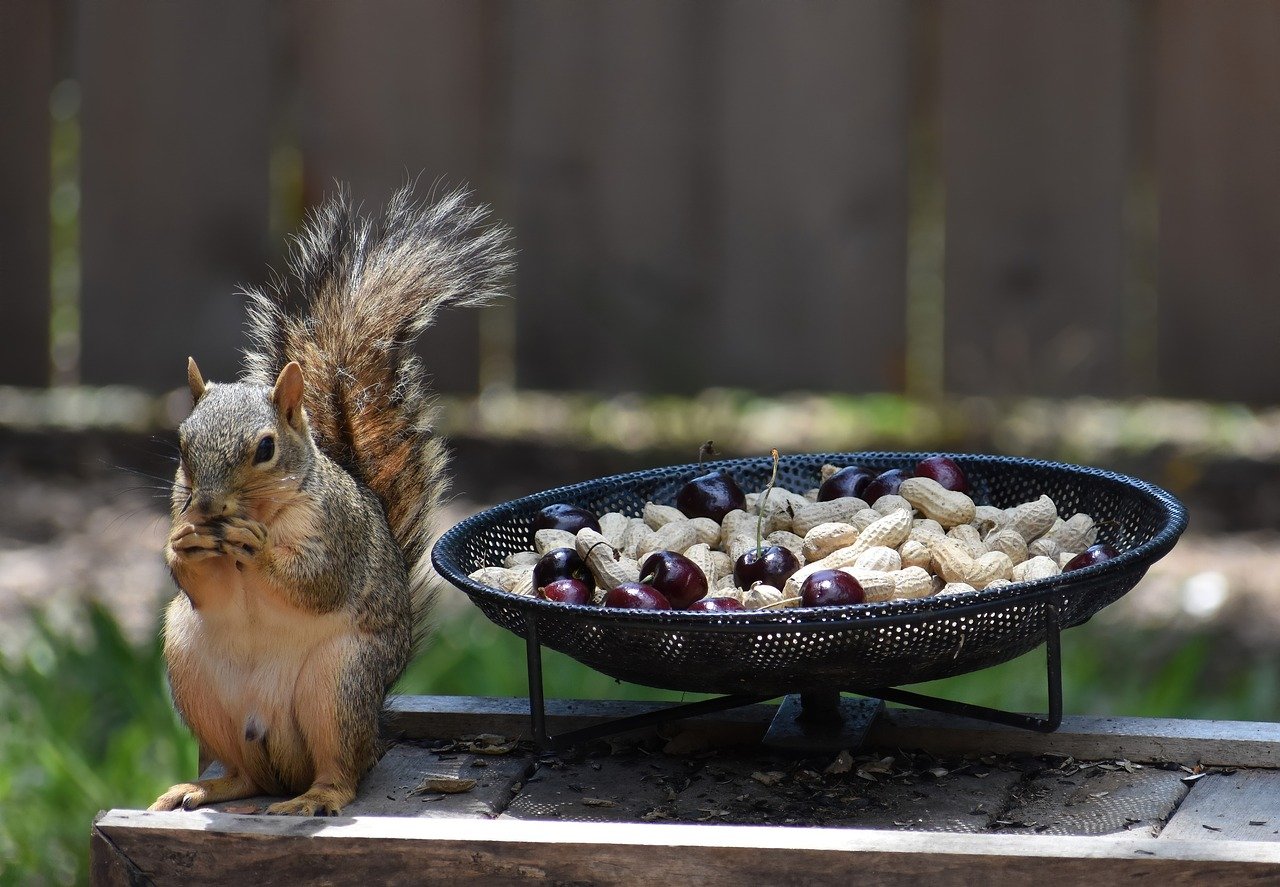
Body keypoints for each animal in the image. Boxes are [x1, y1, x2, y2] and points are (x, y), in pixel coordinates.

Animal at [148, 186, 512, 816]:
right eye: (183, 443)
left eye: (265, 448)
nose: (208, 509)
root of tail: (280, 759)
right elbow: (200, 586)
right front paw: (182, 545)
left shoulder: (334, 531)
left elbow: (318, 581)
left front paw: (258, 550)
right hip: (192, 673)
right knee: (244, 774)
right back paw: (206, 786)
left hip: (339, 687)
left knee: (342, 764)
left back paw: (318, 796)